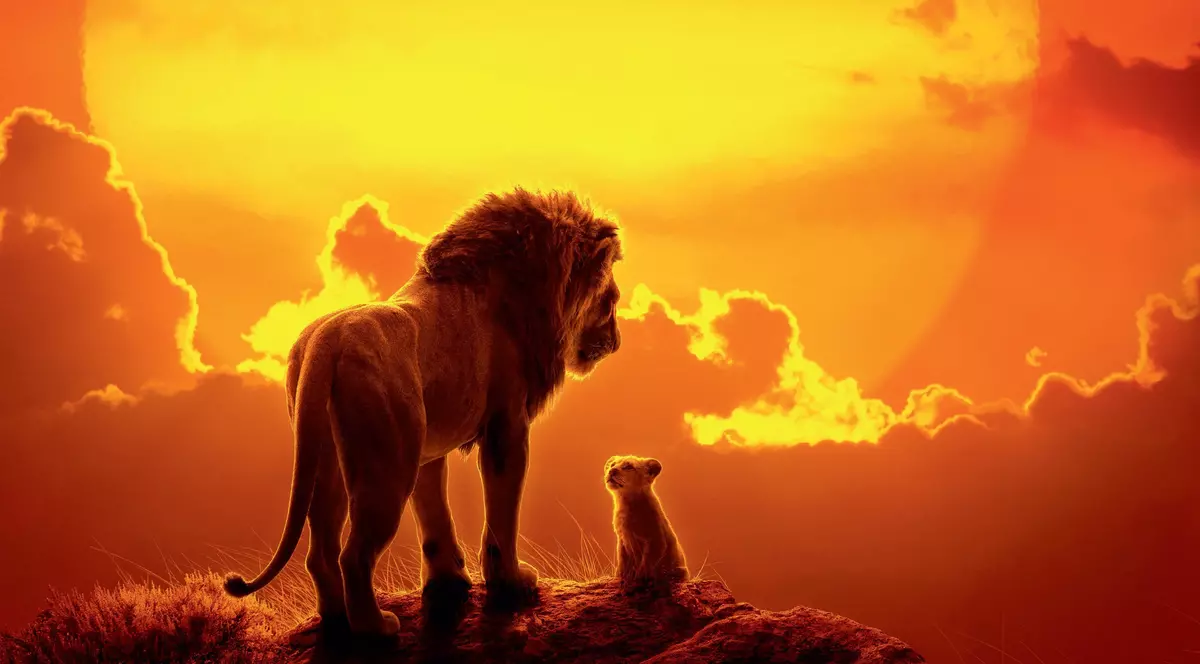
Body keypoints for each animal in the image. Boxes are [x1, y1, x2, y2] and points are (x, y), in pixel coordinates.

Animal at [223, 188, 624, 639]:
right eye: (611, 301)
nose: (616, 342)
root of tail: (326, 342)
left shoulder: (427, 447)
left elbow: (434, 515)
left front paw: (448, 582)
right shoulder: (507, 426)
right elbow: (501, 514)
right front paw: (512, 583)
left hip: (328, 460)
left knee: (321, 551)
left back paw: (337, 620)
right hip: (387, 466)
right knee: (354, 555)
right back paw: (376, 628)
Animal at [605, 455, 690, 587]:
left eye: (629, 466)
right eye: (613, 464)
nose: (611, 471)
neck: (625, 502)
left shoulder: (655, 539)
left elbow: (646, 562)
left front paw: (640, 579)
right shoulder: (622, 539)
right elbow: (622, 560)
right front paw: (620, 577)